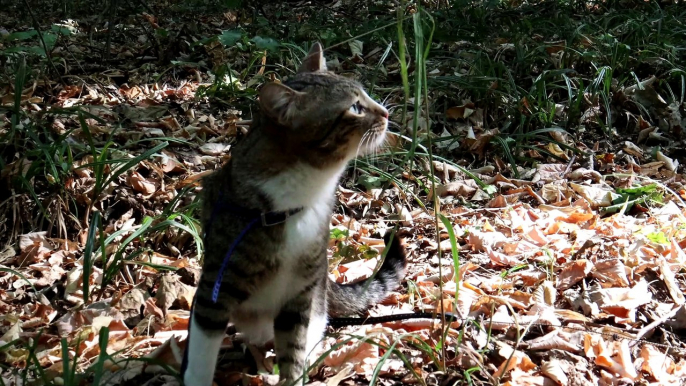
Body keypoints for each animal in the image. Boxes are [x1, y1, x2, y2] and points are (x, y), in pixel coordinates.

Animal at [183, 42, 408, 386]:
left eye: (366, 97)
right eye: (355, 108)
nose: (385, 112)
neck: (300, 196)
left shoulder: (299, 295)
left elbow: (293, 349)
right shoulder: (215, 287)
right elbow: (201, 349)